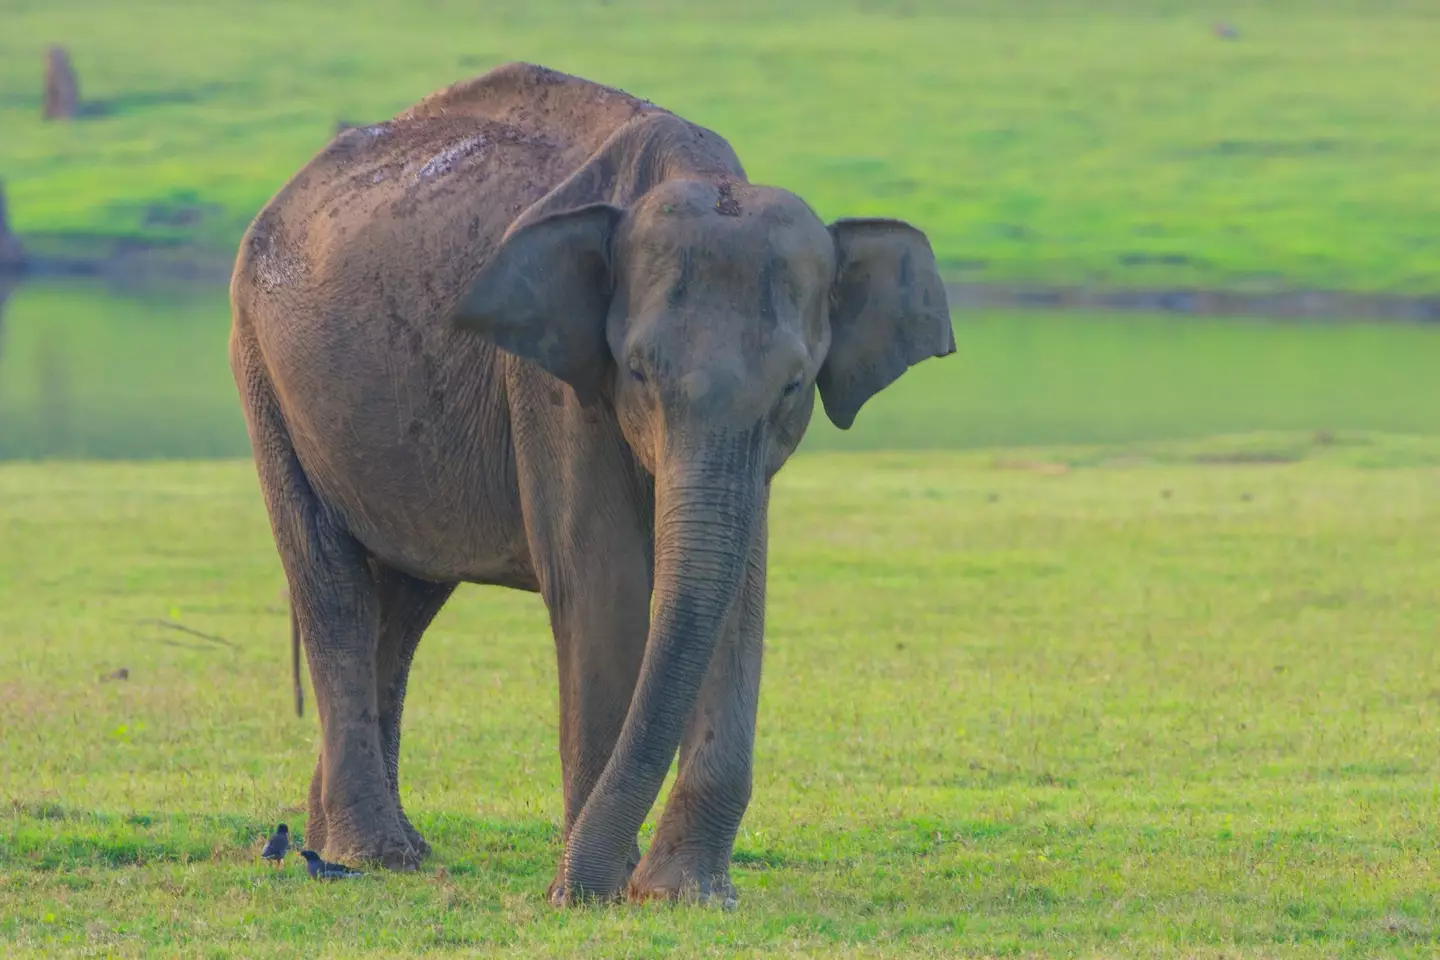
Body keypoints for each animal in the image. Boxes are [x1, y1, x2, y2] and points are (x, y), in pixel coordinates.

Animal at [229, 62, 954, 905]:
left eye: (794, 385)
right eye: (637, 370)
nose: (574, 887)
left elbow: (738, 594)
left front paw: (684, 895)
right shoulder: (550, 381)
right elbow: (603, 586)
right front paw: (594, 892)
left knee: (404, 604)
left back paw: (347, 845)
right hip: (263, 370)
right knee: (336, 589)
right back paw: (376, 855)